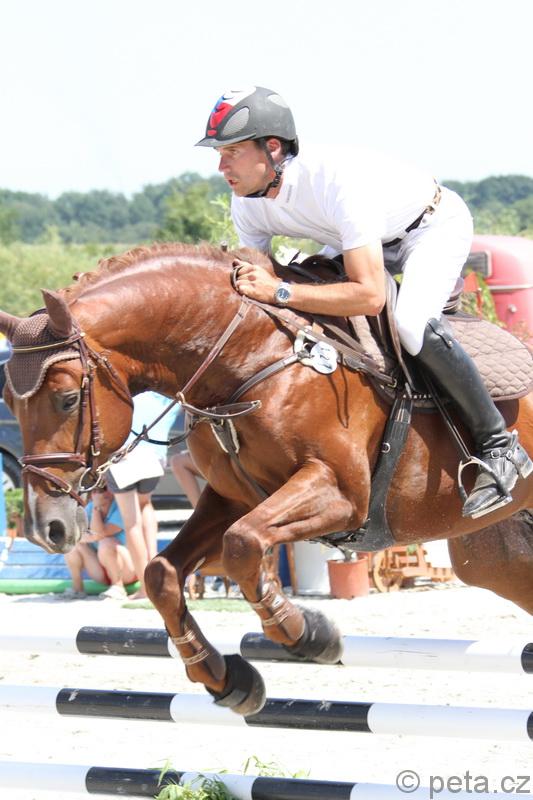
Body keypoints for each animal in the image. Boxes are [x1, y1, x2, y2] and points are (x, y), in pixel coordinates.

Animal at [1, 242, 532, 716]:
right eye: (8, 402)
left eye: (68, 399)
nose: (46, 529)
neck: (249, 358)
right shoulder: (230, 498)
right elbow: (161, 573)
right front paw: (225, 678)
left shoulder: (341, 494)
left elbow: (242, 546)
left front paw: (309, 633)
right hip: (495, 559)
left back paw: (498, 464)